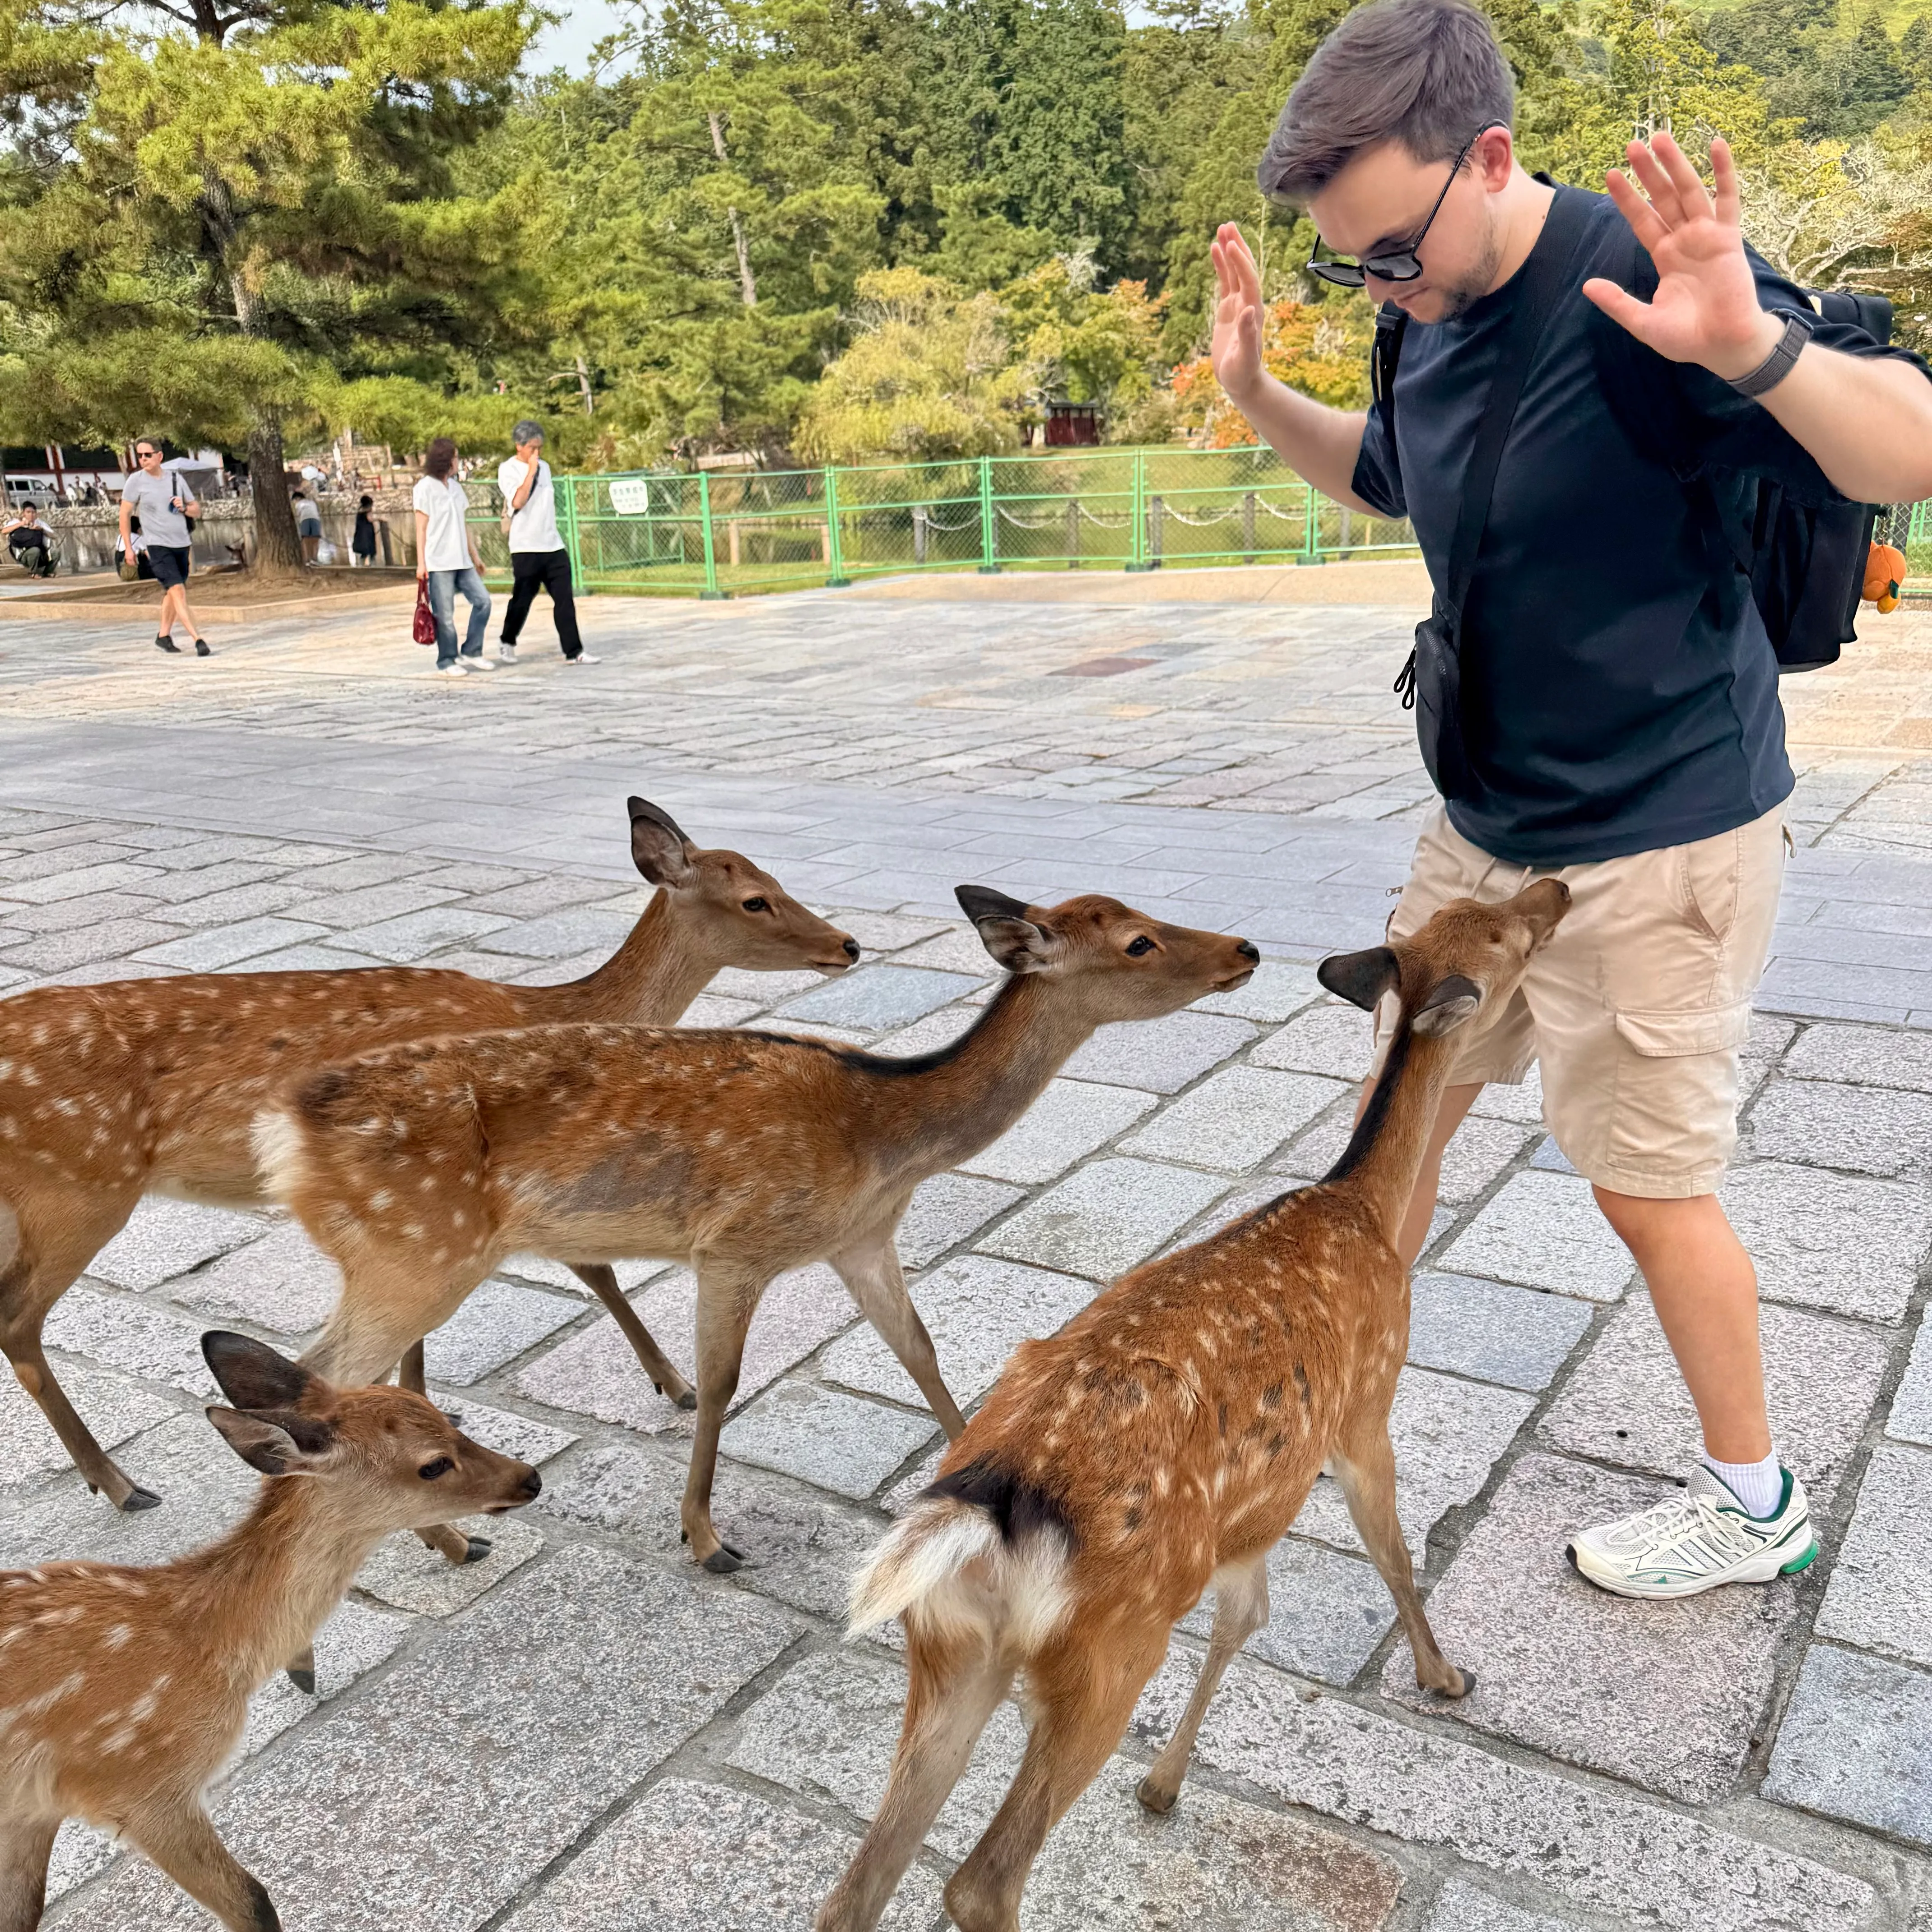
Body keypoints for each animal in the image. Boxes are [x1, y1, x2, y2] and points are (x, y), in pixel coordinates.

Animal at [0, 793, 856, 1530]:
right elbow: (590, 1267)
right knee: (19, 1320)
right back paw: (124, 1485)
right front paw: (674, 1385)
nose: (848, 945)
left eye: (776, 879)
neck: (539, 1012)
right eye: (754, 899)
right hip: (81, 1187)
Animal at [0, 1329, 541, 1932]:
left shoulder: (30, 1809)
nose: (530, 1477)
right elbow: (254, 1899)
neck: (204, 1644)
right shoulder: (134, 1783)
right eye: (433, 1464)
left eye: (449, 1419)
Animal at [257, 889, 1260, 1591]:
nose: (1248, 947)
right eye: (1138, 942)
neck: (884, 1138)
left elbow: (919, 1348)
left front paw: (975, 1477)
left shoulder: (863, 1239)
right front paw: (706, 1538)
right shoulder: (736, 1245)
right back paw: (440, 1533)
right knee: (317, 1374)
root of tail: (288, 1129)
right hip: (413, 1250)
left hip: (407, 1256)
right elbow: (723, 1386)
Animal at [814, 880, 1571, 1932]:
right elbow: (1388, 1548)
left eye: (1475, 910)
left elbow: (1246, 1618)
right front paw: (1444, 1676)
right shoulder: (1365, 1408)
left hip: (946, 1648)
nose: (1556, 888)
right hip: (1109, 1648)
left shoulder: (1248, 1518)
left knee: (855, 1886)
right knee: (982, 1877)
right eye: (1503, 935)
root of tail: (985, 1515)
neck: (1366, 1210)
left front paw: (1163, 1787)